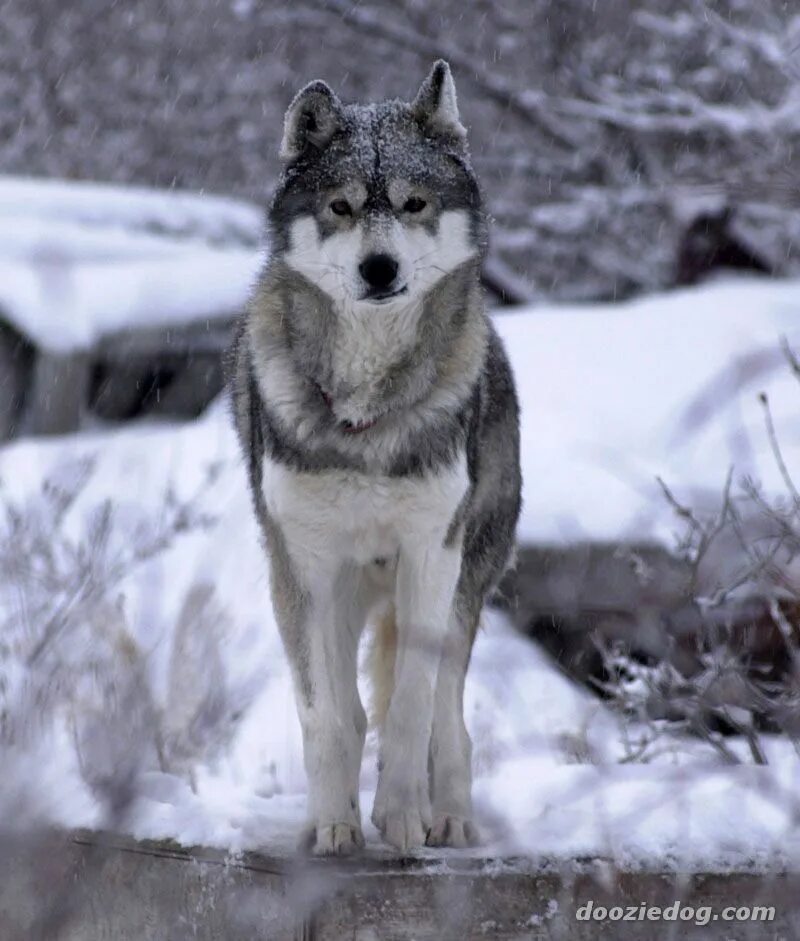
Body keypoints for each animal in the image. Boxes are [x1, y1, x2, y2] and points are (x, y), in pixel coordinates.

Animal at [228, 57, 520, 852]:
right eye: (343, 206)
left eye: (414, 204)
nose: (380, 268)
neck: (366, 410)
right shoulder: (303, 568)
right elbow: (329, 715)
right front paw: (334, 825)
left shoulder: (430, 555)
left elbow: (412, 705)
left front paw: (401, 816)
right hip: (346, 588)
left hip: (464, 579)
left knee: (449, 713)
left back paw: (449, 815)